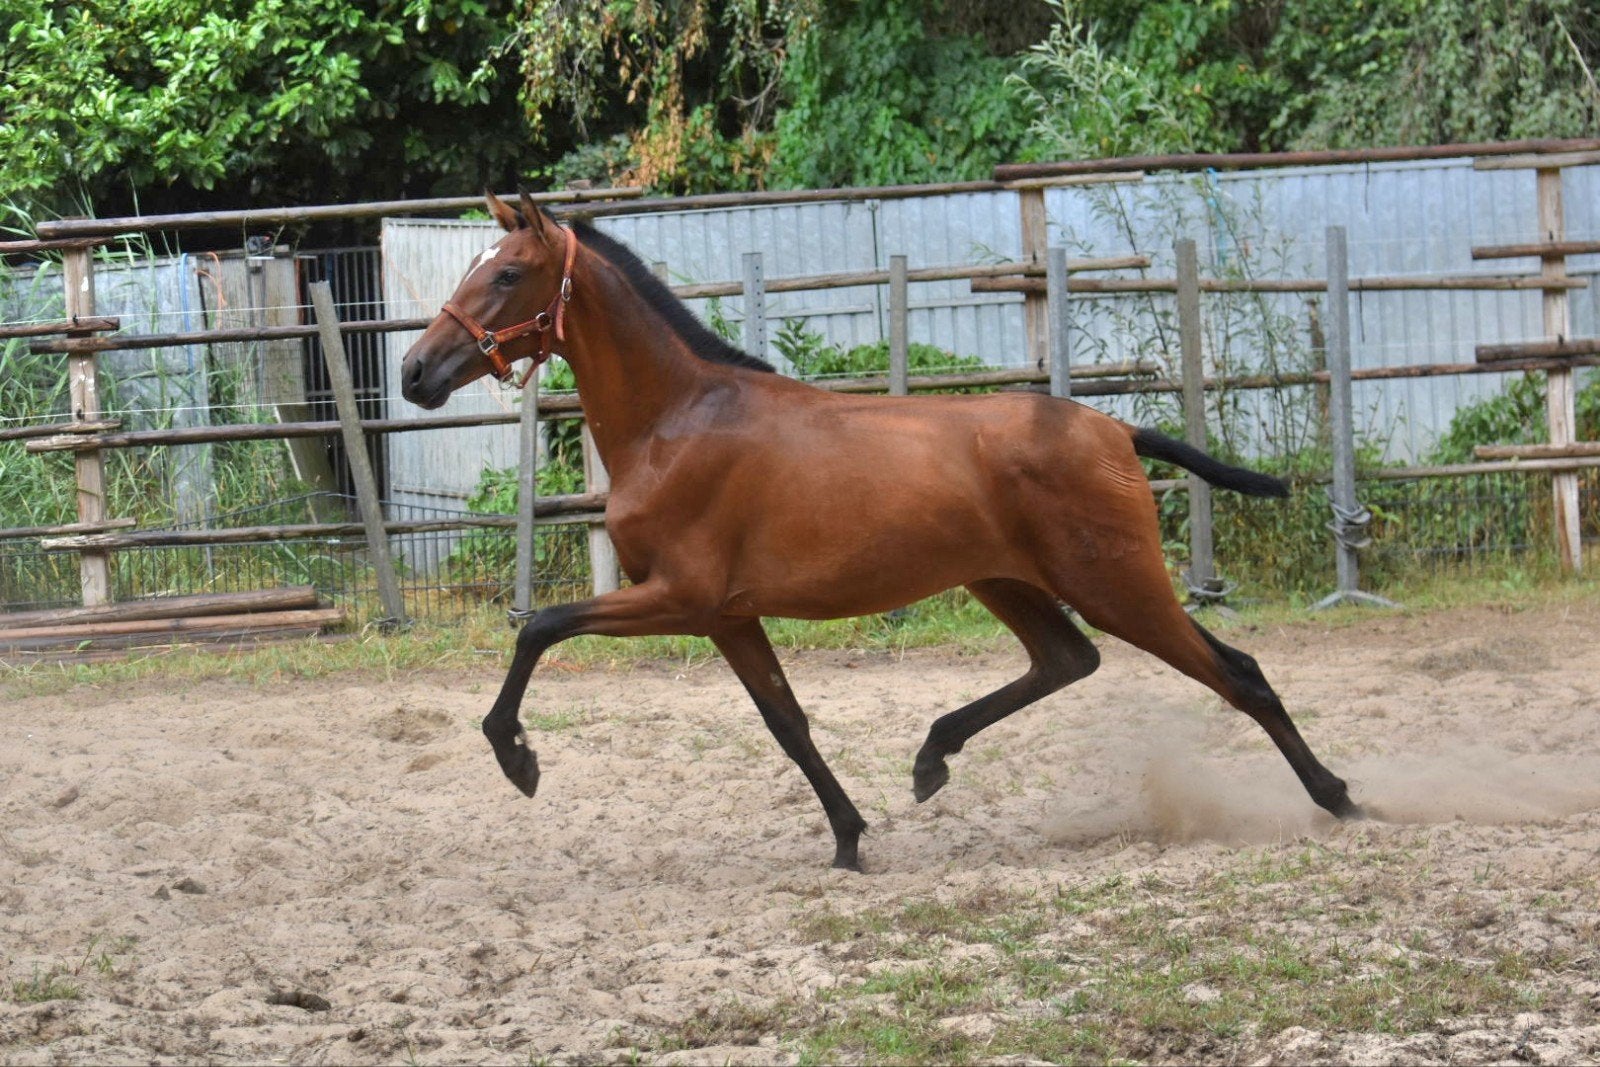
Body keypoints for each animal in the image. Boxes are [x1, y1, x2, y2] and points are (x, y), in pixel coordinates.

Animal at [400, 191, 1360, 871]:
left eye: (508, 274)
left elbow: (541, 627)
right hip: (1011, 581)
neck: (675, 423)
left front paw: (517, 759)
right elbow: (787, 722)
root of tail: (1115, 429)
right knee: (1069, 659)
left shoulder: (678, 597)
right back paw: (932, 757)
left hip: (1116, 582)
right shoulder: (727, 616)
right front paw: (850, 837)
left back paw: (1342, 798)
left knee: (1236, 673)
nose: (415, 372)